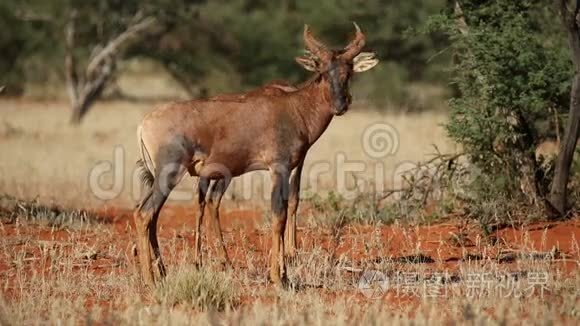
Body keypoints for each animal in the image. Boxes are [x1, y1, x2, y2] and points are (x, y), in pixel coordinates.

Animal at [136, 22, 380, 286]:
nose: (340, 106)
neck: (294, 107)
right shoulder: (278, 168)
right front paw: (277, 278)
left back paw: (163, 273)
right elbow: (278, 215)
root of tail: (145, 122)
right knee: (145, 214)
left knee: (149, 214)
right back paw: (150, 280)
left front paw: (284, 273)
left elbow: (285, 211)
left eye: (349, 73)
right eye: (323, 72)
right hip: (170, 172)